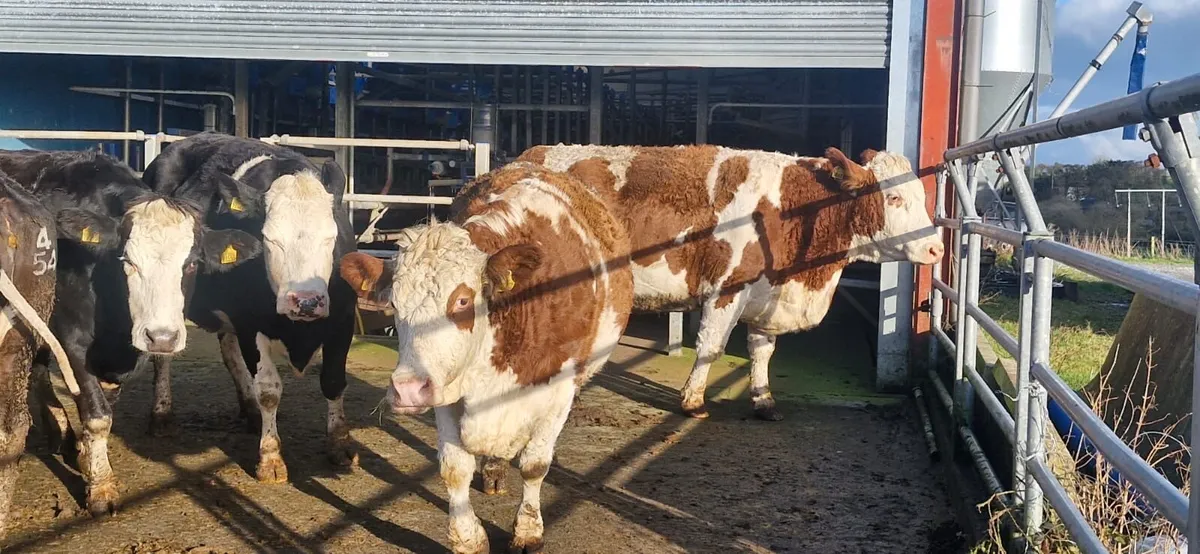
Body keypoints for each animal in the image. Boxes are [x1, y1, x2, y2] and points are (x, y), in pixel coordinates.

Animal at [0, 150, 262, 516]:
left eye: (192, 264)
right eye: (127, 260)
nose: (161, 337)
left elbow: (102, 404)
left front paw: (87, 458)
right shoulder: (72, 340)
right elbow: (96, 414)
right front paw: (101, 488)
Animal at [141, 132, 358, 483]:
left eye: (331, 237)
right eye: (270, 239)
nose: (307, 301)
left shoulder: (343, 320)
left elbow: (334, 381)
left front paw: (340, 445)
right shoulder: (250, 326)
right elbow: (269, 389)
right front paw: (270, 459)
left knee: (229, 352)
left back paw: (250, 409)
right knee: (163, 355)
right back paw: (161, 414)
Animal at [339, 162, 633, 553]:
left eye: (463, 300)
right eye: (395, 304)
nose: (407, 389)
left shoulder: (559, 389)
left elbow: (535, 465)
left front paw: (528, 531)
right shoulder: (447, 389)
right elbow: (454, 468)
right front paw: (467, 537)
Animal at [517, 144, 943, 421]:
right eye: (894, 199)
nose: (937, 249)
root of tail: (531, 155)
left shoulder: (766, 295)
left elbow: (762, 351)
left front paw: (763, 400)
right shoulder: (728, 288)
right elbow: (711, 347)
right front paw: (693, 402)